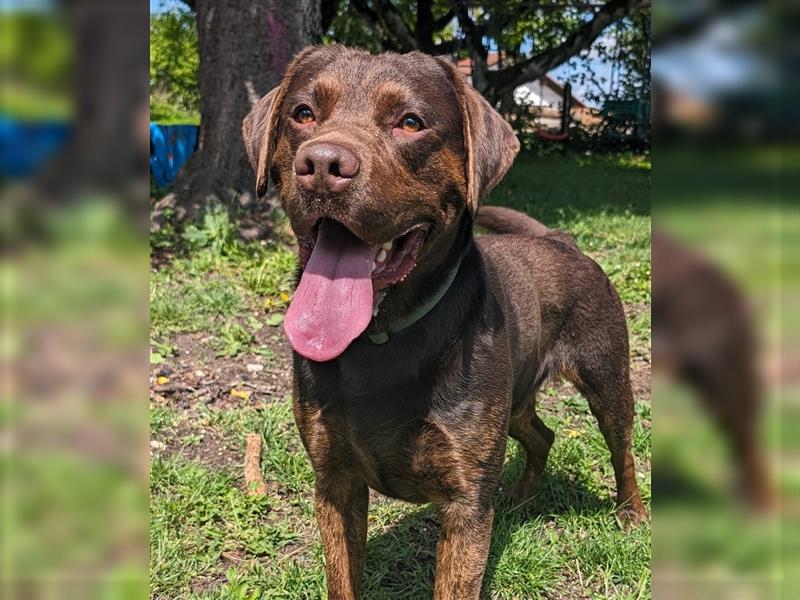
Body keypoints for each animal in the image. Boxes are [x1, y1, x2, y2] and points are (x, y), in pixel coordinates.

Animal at [241, 48, 648, 600]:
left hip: (606, 378)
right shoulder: (335, 481)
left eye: (410, 122)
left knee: (621, 448)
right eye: (302, 113)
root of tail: (561, 239)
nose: (322, 164)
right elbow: (342, 577)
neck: (381, 337)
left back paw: (631, 512)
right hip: (512, 400)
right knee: (541, 435)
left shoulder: (465, 503)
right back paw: (520, 493)